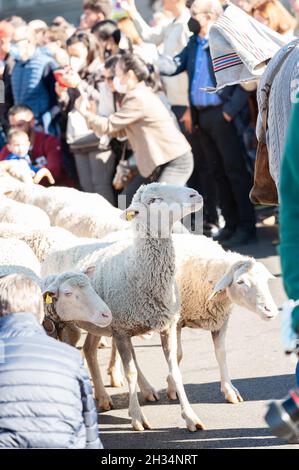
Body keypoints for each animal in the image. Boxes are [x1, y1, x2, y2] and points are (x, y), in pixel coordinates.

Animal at [42, 183, 206, 434]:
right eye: (154, 200)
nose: (195, 195)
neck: (138, 268)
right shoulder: (120, 331)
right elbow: (130, 372)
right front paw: (137, 418)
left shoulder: (165, 326)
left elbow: (175, 371)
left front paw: (190, 416)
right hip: (70, 325)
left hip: (99, 320)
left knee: (89, 350)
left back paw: (109, 396)